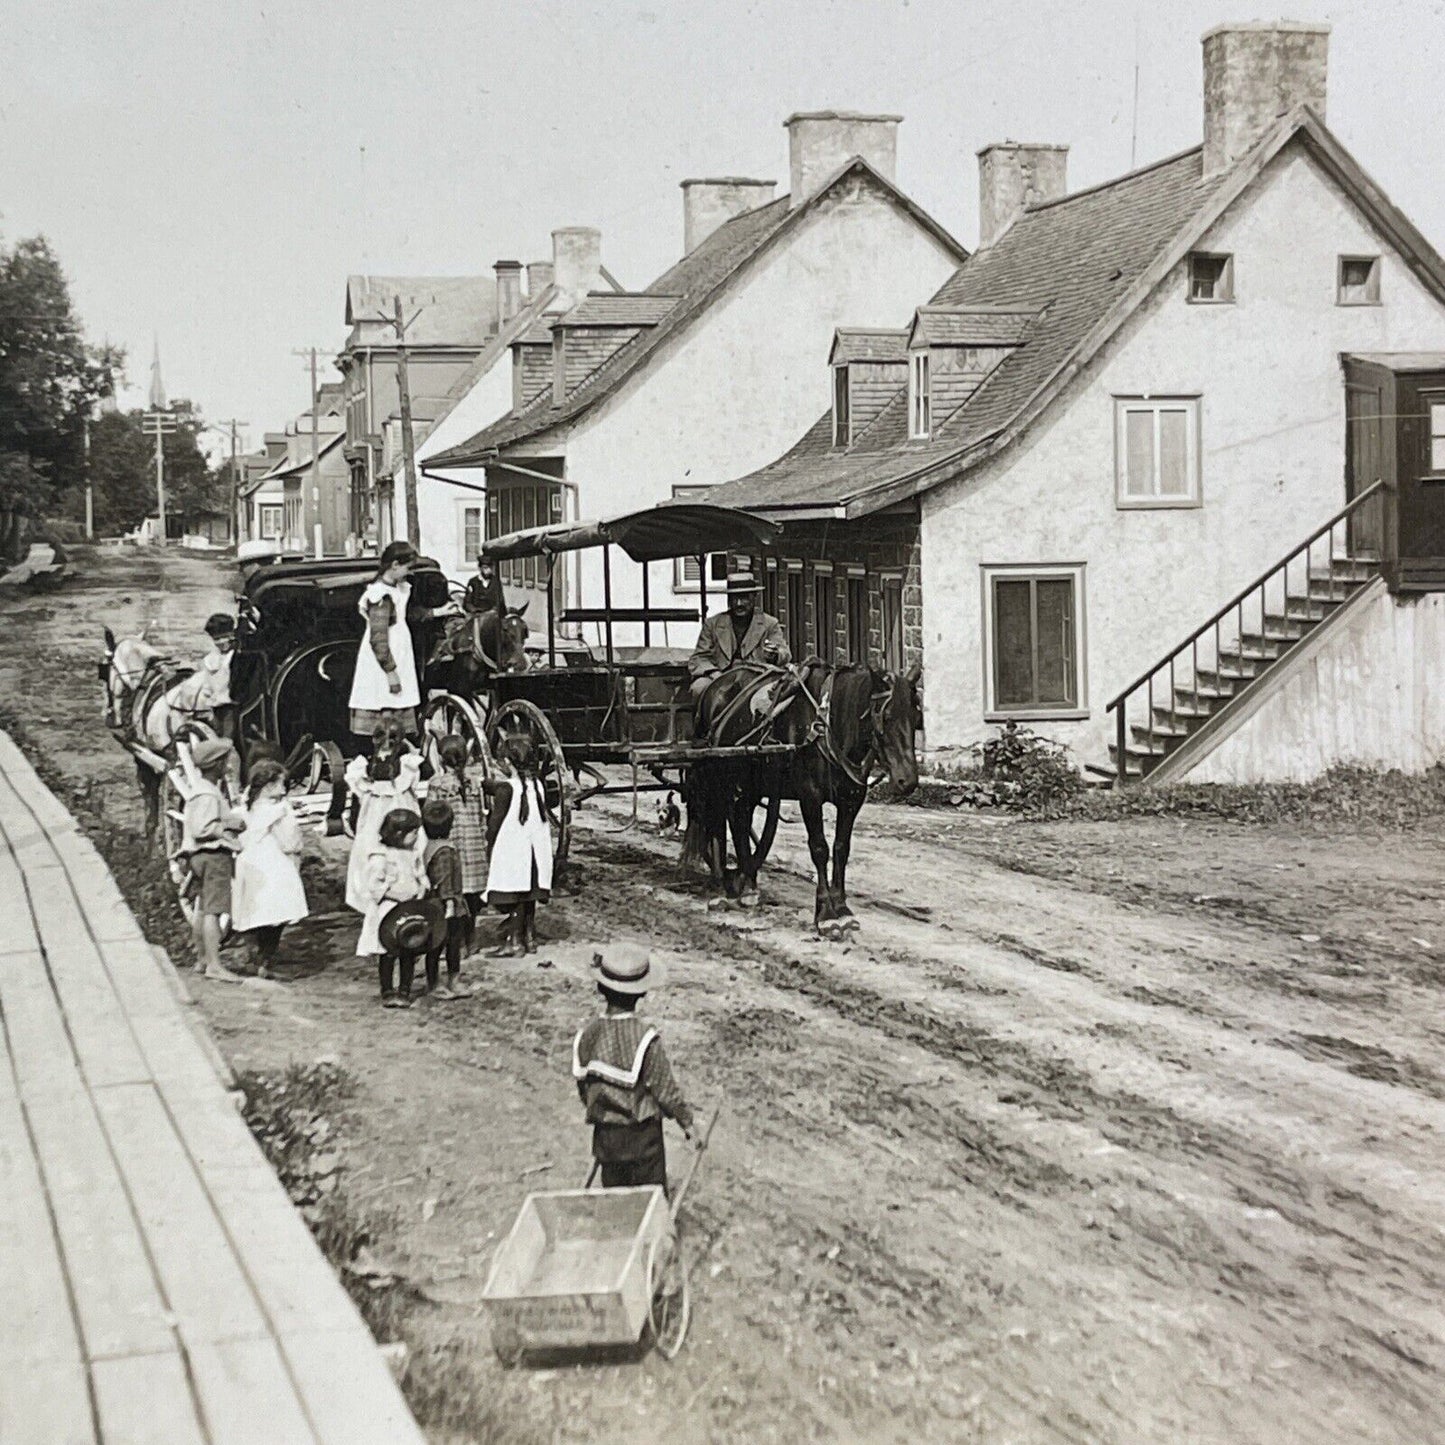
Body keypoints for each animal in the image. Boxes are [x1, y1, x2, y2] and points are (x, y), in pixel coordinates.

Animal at [682, 661, 919, 930]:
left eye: (915, 717)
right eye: (886, 717)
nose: (907, 780)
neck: (827, 725)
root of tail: (715, 684)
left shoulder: (851, 799)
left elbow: (841, 848)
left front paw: (842, 907)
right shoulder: (810, 797)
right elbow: (820, 848)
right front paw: (825, 912)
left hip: (749, 784)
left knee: (739, 822)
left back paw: (748, 885)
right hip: (719, 778)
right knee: (717, 824)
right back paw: (722, 883)